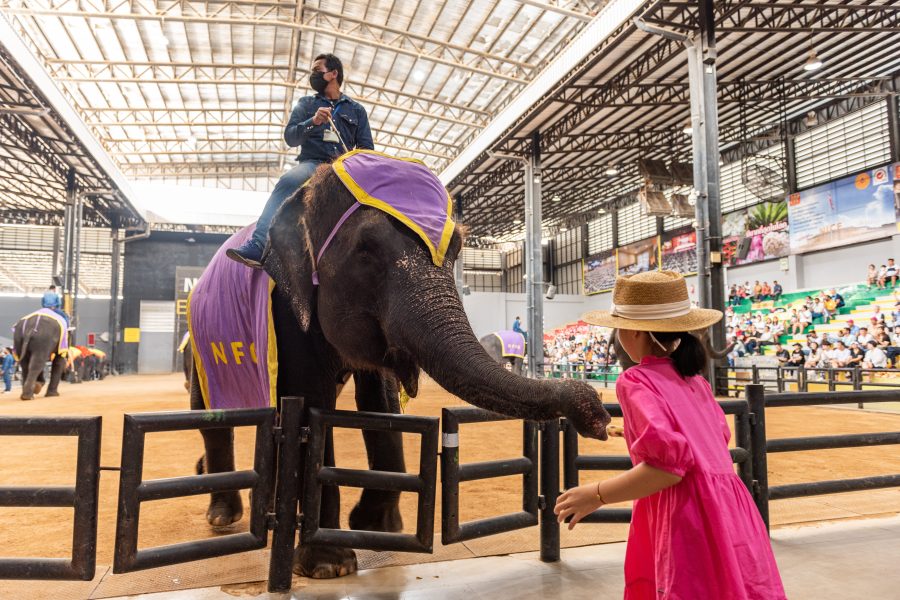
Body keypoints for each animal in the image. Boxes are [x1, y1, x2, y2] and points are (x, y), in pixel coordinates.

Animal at [190, 164, 612, 580]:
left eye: (456, 251)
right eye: (366, 250)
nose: (599, 414)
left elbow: (381, 401)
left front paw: (376, 527)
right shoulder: (288, 310)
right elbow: (311, 402)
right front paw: (329, 565)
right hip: (200, 344)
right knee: (211, 414)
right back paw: (223, 516)